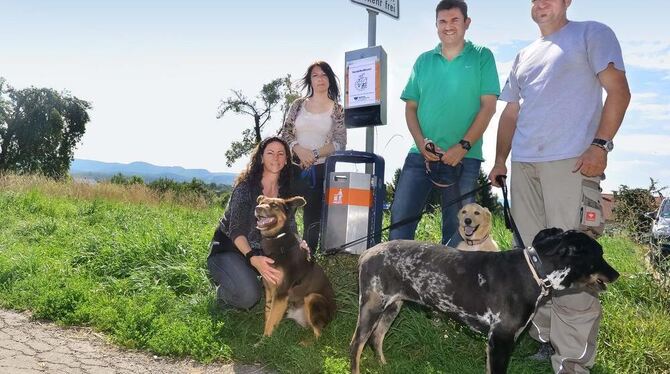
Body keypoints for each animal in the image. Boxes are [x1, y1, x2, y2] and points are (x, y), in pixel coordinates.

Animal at [255, 196, 338, 338]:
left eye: (274, 205)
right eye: (261, 202)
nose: (257, 208)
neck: (277, 239)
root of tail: (334, 315)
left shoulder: (281, 292)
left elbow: (271, 320)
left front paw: (264, 341)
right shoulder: (269, 289)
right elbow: (268, 316)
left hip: (313, 297)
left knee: (319, 335)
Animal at [352, 228, 620, 374]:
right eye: (599, 254)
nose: (617, 274)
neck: (533, 270)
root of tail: (367, 253)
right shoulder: (501, 340)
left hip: (392, 307)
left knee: (377, 338)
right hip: (372, 307)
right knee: (356, 345)